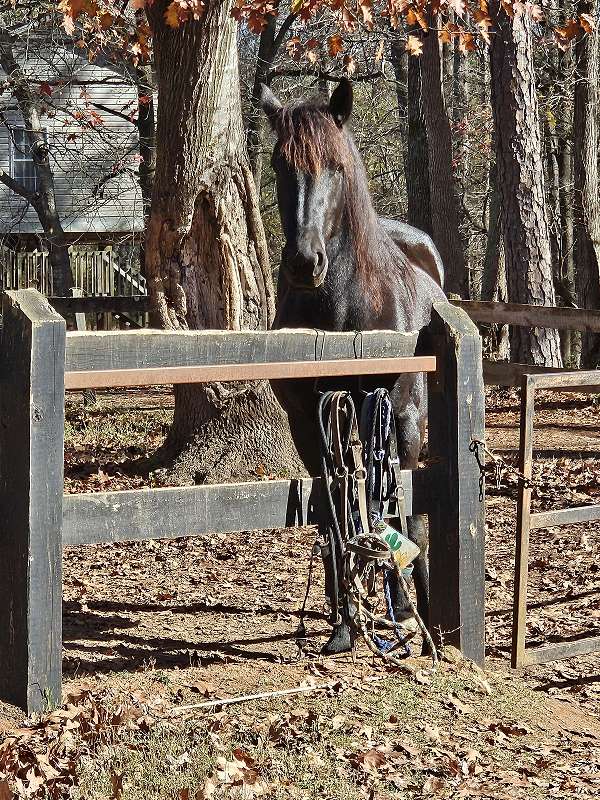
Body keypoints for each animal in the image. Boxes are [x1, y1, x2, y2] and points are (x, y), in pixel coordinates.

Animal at [260, 78, 448, 648]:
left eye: (336, 166)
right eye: (278, 163)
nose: (304, 263)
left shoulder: (396, 416)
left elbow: (401, 509)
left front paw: (411, 615)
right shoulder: (309, 421)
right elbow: (332, 510)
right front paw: (344, 622)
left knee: (404, 509)